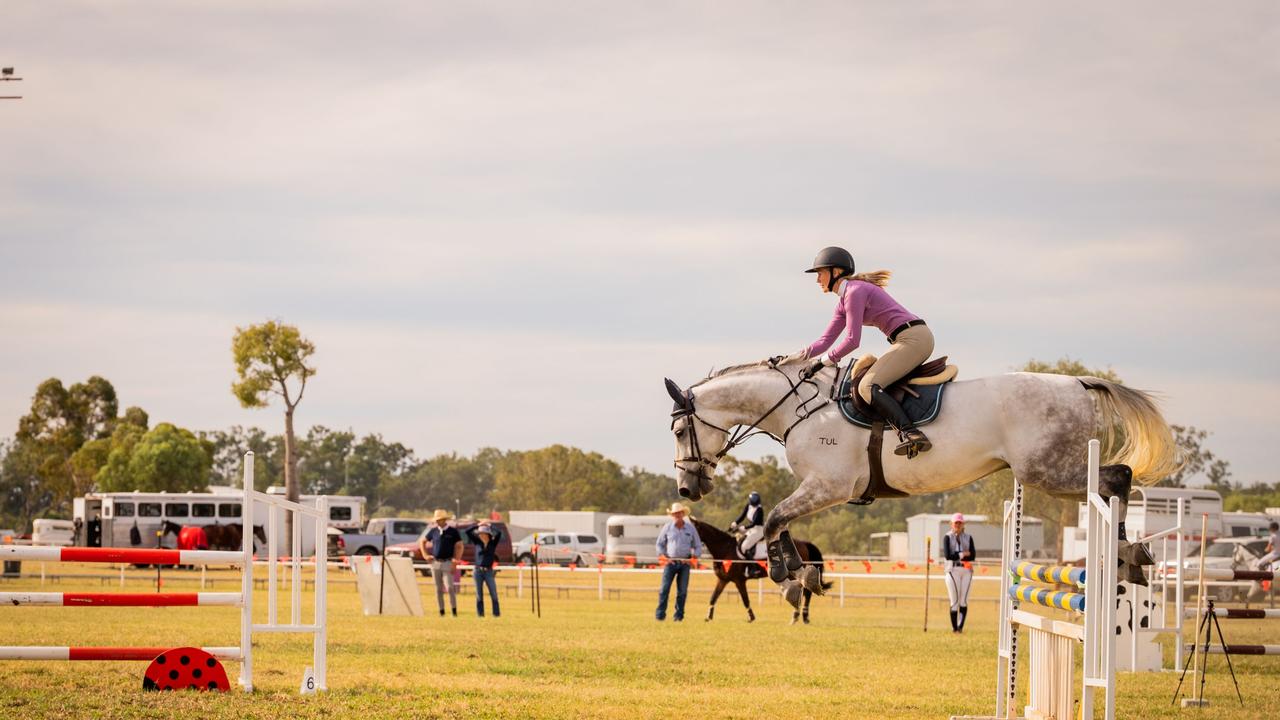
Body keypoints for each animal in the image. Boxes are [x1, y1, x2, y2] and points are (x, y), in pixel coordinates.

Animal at [691, 515, 829, 622]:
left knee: (807, 592)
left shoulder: (739, 580)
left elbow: (745, 599)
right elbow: (713, 597)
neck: (725, 548)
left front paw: (751, 617)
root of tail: (804, 543)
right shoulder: (723, 579)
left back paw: (800, 616)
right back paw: (801, 616)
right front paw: (708, 616)